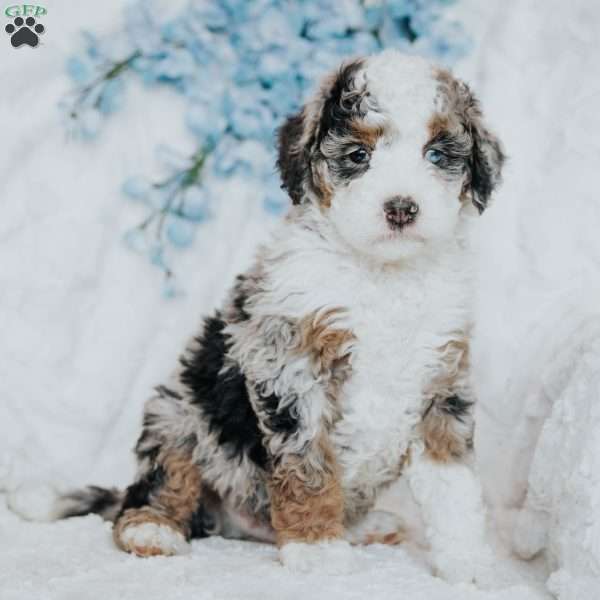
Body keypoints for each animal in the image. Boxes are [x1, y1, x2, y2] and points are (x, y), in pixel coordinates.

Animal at [44, 52, 506, 580]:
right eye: (358, 156)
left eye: (436, 155)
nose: (401, 209)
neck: (382, 275)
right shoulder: (292, 368)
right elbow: (307, 465)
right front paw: (316, 547)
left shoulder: (442, 382)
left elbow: (453, 485)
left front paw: (469, 561)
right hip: (178, 412)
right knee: (163, 479)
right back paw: (153, 529)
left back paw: (365, 526)